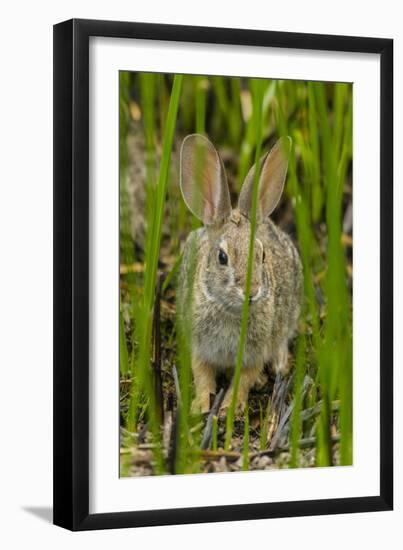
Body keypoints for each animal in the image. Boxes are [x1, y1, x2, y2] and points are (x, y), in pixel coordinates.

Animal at [177, 136, 304, 416]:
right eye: (222, 257)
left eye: (262, 255)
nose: (252, 291)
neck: (229, 309)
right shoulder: (200, 347)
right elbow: (202, 376)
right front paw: (200, 406)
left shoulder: (254, 352)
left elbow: (243, 379)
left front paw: (229, 409)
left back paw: (279, 365)